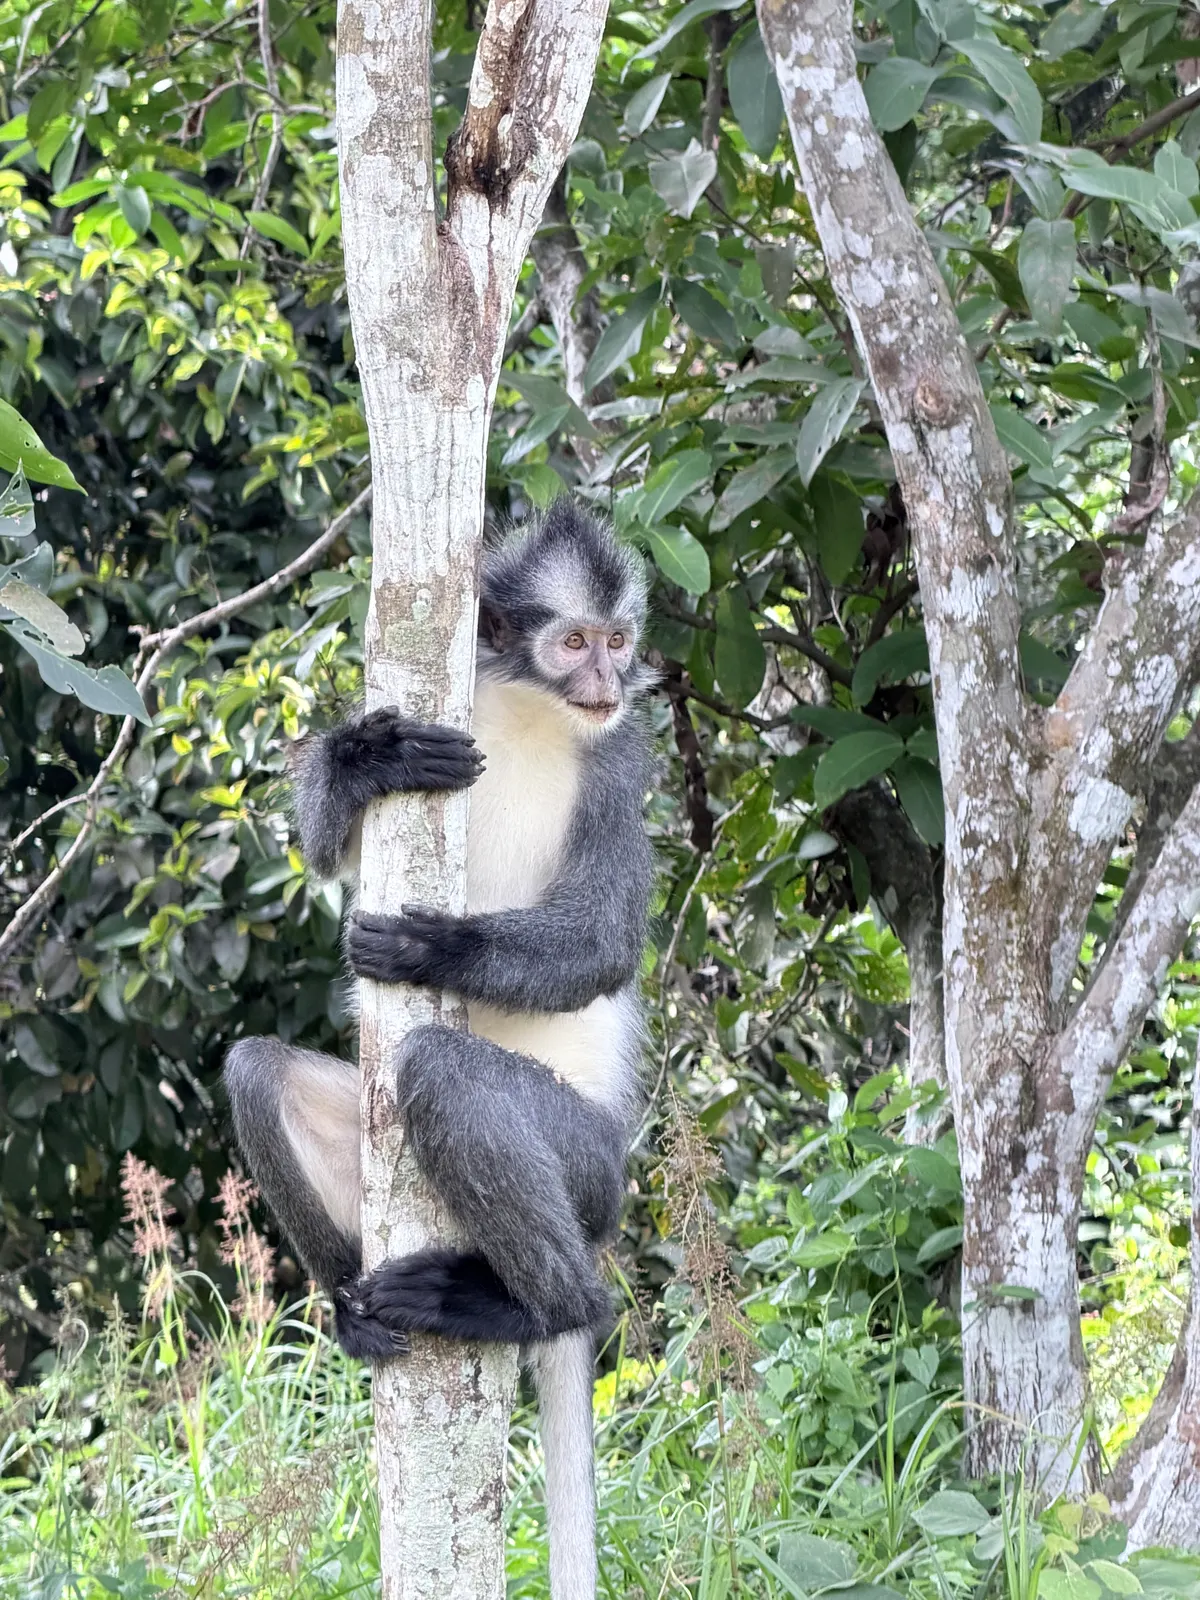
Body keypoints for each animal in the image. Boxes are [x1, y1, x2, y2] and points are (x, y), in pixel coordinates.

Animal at [223, 500, 655, 1600]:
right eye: (574, 643)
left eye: (617, 641)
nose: (607, 680)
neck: (536, 712)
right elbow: (327, 852)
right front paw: (363, 764)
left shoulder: (625, 755)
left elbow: (605, 943)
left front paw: (435, 950)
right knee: (256, 1068)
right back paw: (353, 1307)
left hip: (588, 1166)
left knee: (443, 1070)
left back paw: (532, 1308)